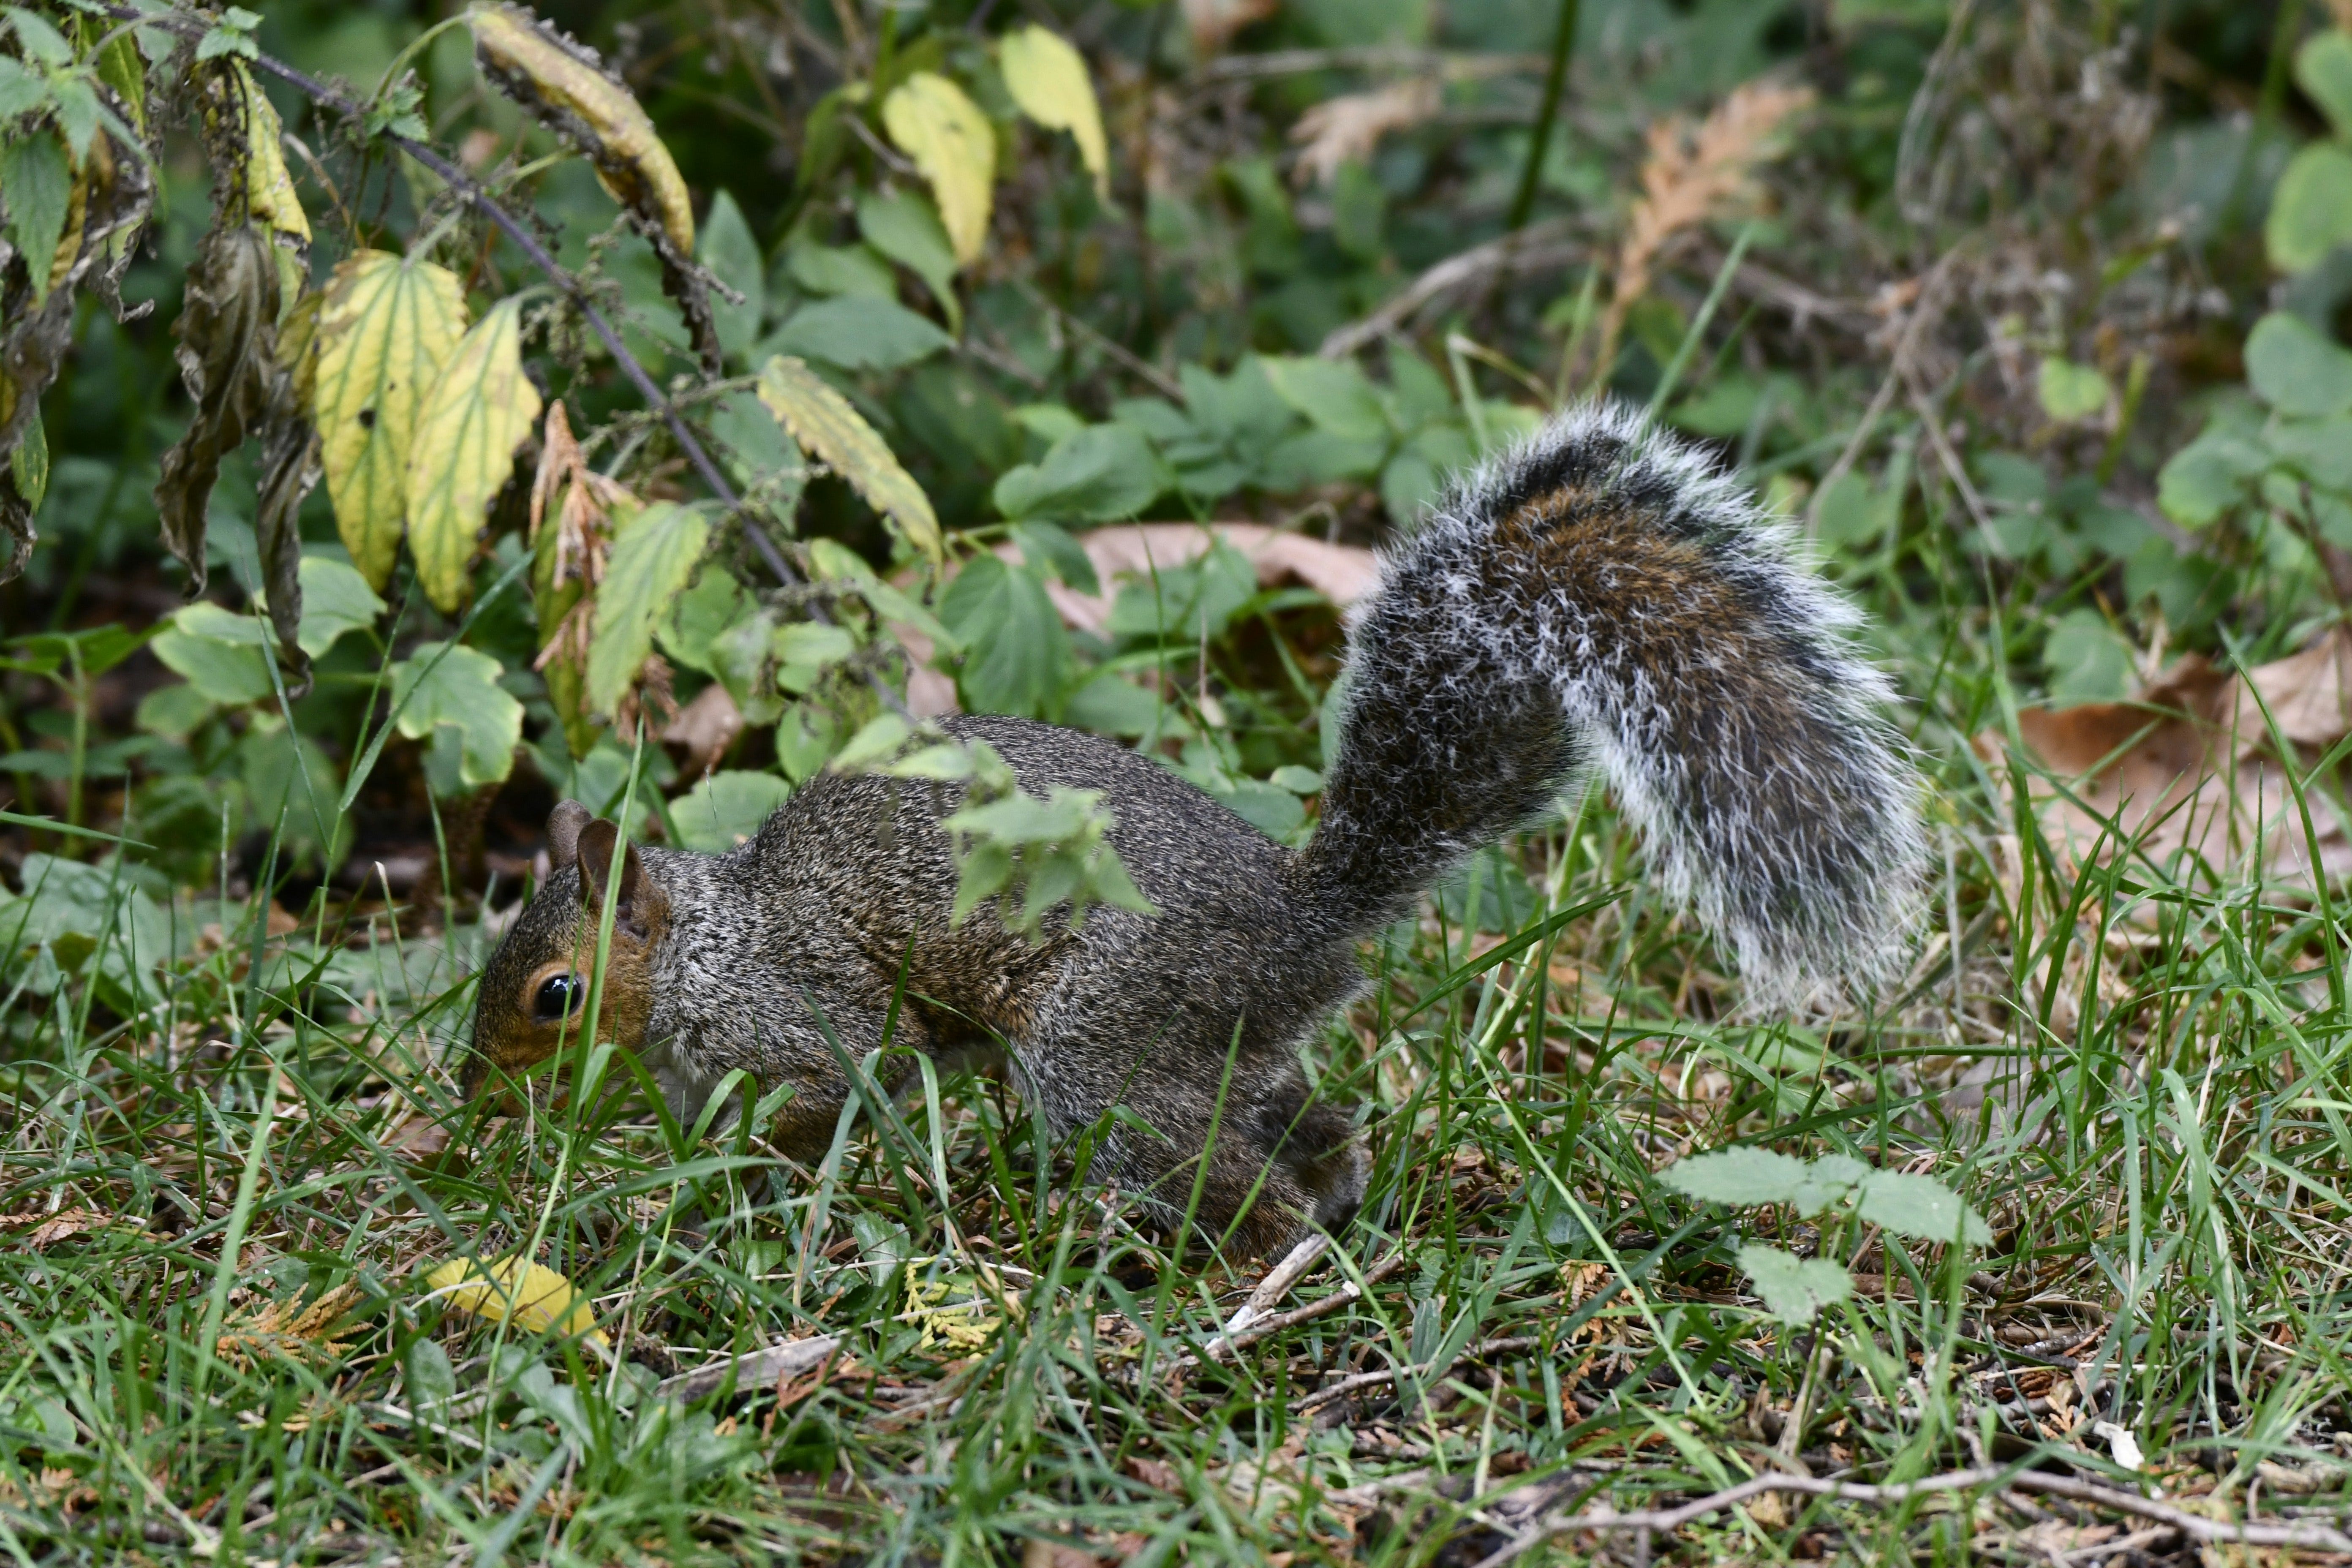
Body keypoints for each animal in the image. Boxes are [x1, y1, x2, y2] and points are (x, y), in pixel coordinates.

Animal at [462, 405, 1926, 1258]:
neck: (706, 947)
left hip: (1106, 1044)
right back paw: (1313, 1204)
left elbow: (831, 1093)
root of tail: (1305, 918)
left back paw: (1212, 1253)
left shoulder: (803, 1019)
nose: (471, 1094)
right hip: (1211, 1050)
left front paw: (738, 1191)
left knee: (1235, 1175)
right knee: (1304, 1126)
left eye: (553, 993)